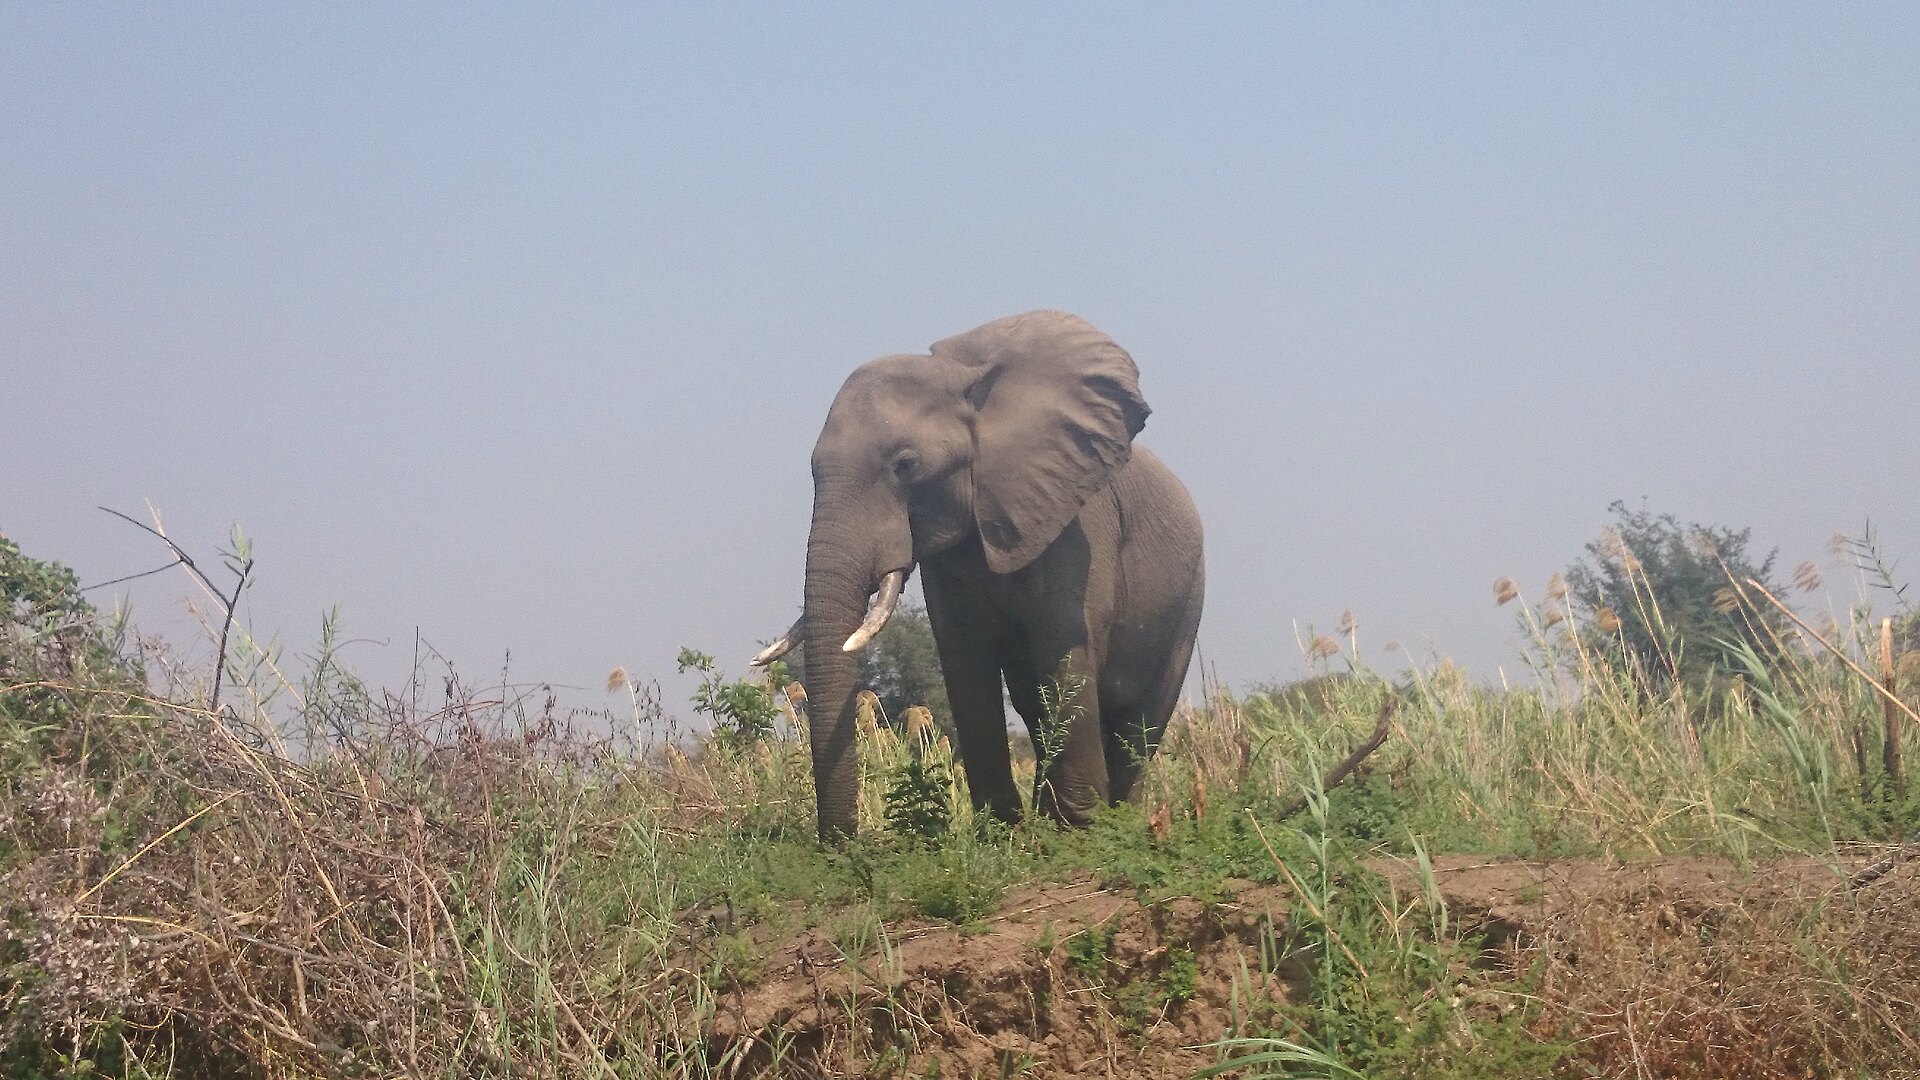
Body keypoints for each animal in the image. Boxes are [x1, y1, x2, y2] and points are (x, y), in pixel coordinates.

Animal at [752, 311, 1205, 841]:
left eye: (906, 466)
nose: (840, 847)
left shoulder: (1078, 526)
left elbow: (1064, 652)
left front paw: (1078, 831)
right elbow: (966, 661)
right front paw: (1001, 831)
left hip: (1188, 600)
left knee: (1141, 719)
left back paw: (1120, 818)